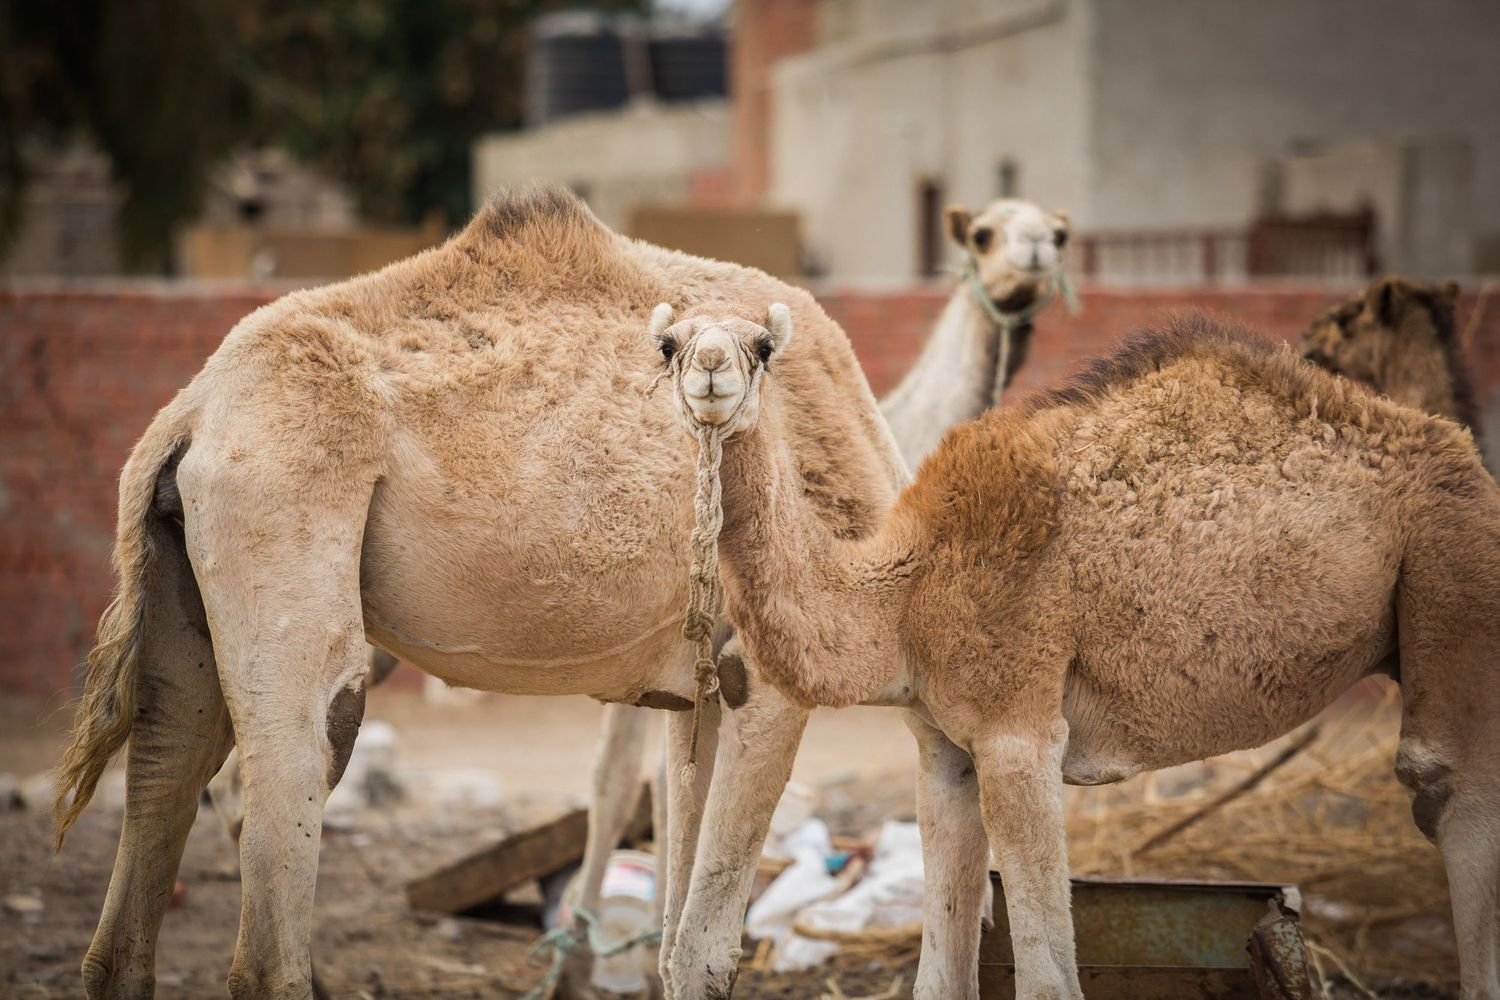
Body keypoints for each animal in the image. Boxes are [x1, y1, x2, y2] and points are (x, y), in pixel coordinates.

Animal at [51, 188, 912, 1000]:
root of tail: (188, 415)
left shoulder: (702, 682)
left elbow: (674, 928)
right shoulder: (767, 677)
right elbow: (703, 954)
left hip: (182, 582)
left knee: (165, 769)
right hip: (280, 505)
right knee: (302, 764)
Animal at [650, 304, 1500, 999]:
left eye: (763, 346)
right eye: (667, 344)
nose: (711, 369)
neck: (904, 596)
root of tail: (1466, 456)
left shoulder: (1019, 730)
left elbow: (1049, 982)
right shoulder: (945, 750)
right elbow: (941, 975)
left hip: (1452, 571)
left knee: (1451, 787)